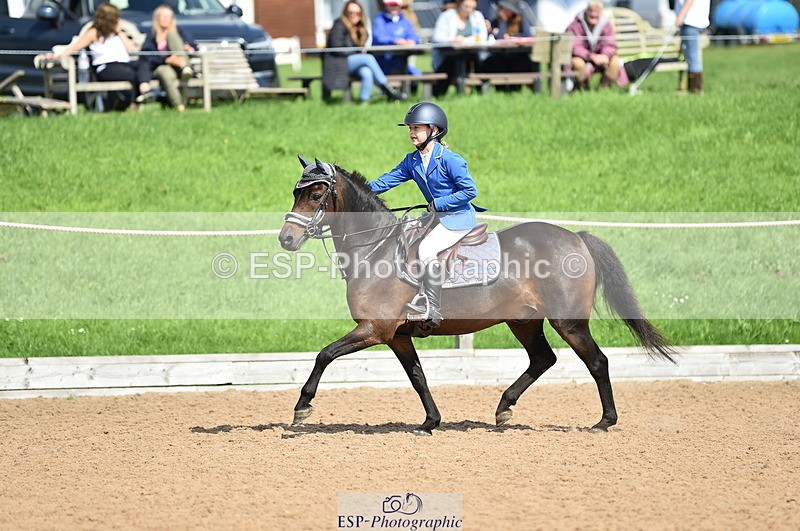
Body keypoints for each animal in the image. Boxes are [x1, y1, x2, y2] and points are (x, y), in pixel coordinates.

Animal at [278, 156, 674, 435]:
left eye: (316, 195)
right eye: (295, 193)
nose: (286, 239)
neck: (376, 249)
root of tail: (576, 238)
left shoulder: (374, 329)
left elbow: (324, 355)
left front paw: (302, 407)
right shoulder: (397, 336)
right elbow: (417, 376)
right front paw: (430, 422)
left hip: (569, 322)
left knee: (597, 362)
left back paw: (605, 421)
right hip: (523, 321)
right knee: (542, 359)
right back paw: (503, 409)